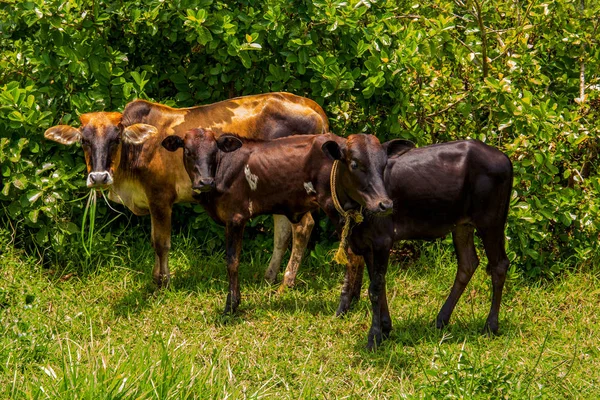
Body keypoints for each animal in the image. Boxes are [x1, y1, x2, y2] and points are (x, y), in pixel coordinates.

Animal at [43, 93, 328, 288]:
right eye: (84, 140)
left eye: (116, 139)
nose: (99, 176)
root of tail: (313, 108)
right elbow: (154, 241)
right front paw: (156, 277)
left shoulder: (160, 198)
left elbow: (161, 243)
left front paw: (163, 282)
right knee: (282, 231)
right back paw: (269, 277)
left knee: (303, 227)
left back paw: (286, 282)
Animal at [159, 130, 412, 314]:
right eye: (188, 151)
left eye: (214, 151)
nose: (204, 181)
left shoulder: (236, 217)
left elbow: (232, 261)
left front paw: (231, 306)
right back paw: (355, 299)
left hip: (336, 208)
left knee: (351, 255)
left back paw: (344, 305)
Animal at [336, 141, 512, 350]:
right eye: (354, 164)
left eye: (382, 166)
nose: (384, 204)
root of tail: (504, 158)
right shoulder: (366, 244)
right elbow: (379, 283)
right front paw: (385, 329)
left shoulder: (382, 240)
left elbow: (375, 288)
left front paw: (374, 338)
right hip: (462, 224)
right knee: (468, 263)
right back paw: (441, 320)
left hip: (491, 222)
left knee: (499, 265)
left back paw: (490, 326)